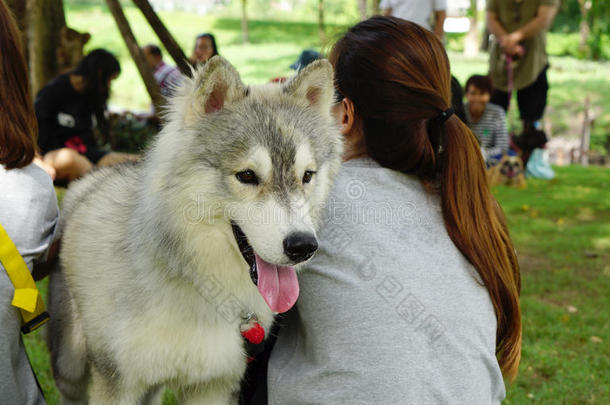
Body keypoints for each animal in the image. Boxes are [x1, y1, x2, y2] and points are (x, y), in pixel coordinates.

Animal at [47, 55, 342, 402]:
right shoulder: (117, 383)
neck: (193, 277)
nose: (302, 246)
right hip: (70, 365)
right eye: (247, 176)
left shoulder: (213, 384)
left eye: (307, 176)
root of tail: (91, 178)